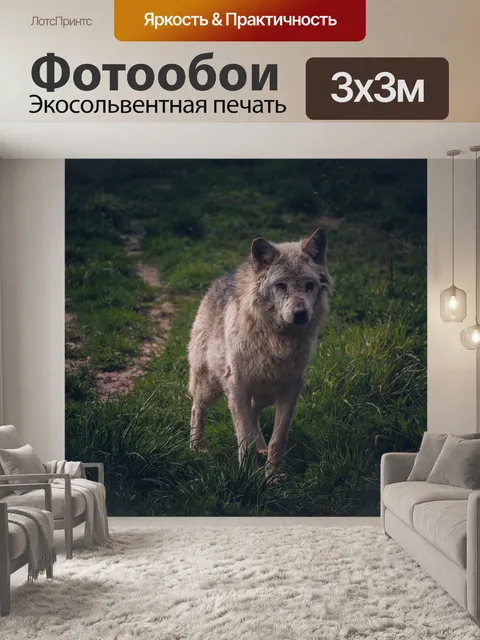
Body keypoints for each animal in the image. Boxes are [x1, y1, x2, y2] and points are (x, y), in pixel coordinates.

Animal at [187, 228, 332, 470]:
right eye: (281, 285)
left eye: (309, 285)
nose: (301, 314)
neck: (276, 341)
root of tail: (219, 280)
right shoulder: (237, 387)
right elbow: (244, 439)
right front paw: (247, 473)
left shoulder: (291, 388)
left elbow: (277, 441)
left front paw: (274, 475)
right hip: (210, 386)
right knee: (197, 408)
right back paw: (197, 447)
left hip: (265, 395)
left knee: (254, 413)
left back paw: (261, 447)